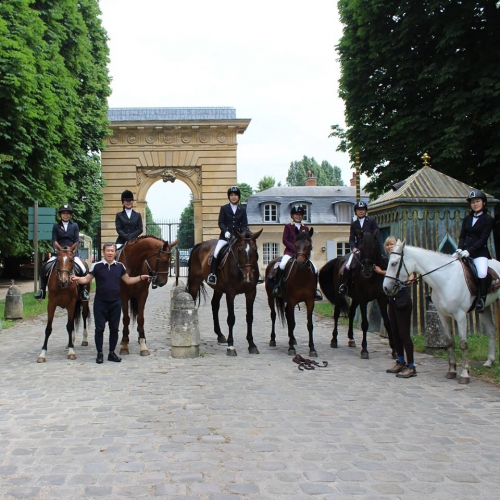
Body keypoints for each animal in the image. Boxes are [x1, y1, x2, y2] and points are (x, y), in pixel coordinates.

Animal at [264, 229, 318, 358]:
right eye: (295, 244)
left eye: (309, 245)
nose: (300, 263)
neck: (302, 276)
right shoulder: (292, 301)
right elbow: (292, 323)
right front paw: (291, 348)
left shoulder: (310, 302)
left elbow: (309, 325)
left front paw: (312, 348)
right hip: (271, 298)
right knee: (273, 315)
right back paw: (273, 340)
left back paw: (292, 338)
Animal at [316, 230, 394, 360]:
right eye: (361, 248)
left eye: (374, 247)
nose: (366, 271)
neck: (373, 276)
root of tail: (339, 259)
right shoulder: (363, 299)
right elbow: (364, 324)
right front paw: (364, 350)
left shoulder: (381, 298)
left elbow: (388, 322)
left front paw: (394, 350)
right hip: (340, 296)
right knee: (336, 315)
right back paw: (334, 340)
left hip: (356, 297)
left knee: (352, 313)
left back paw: (351, 339)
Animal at [384, 240, 498, 384]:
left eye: (394, 263)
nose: (385, 288)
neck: (446, 279)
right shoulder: (443, 315)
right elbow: (449, 342)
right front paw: (452, 371)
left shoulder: (460, 316)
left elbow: (463, 344)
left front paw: (465, 374)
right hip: (484, 309)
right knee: (491, 330)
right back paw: (489, 361)